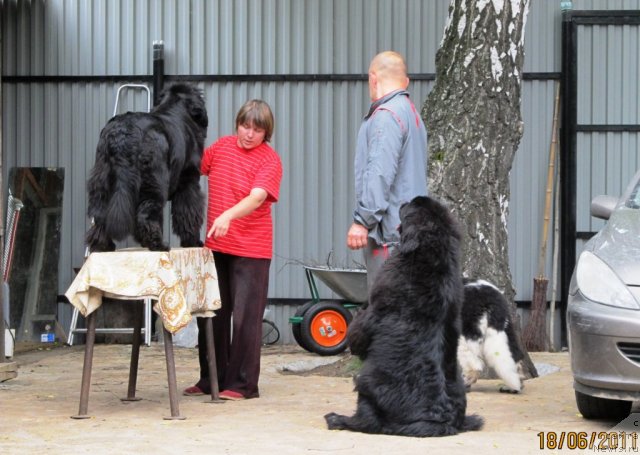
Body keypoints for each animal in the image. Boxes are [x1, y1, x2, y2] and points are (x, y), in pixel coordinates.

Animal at [85, 83, 208, 253]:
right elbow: (189, 212)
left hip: (101, 177)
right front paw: (193, 242)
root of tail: (123, 133)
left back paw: (103, 246)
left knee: (100, 214)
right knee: (147, 213)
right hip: (154, 180)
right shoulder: (189, 180)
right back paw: (158, 245)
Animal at [322, 196, 482, 438]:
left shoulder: (374, 312)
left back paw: (336, 419)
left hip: (367, 383)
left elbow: (358, 329)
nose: (405, 200)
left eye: (410, 208)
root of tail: (440, 421)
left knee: (367, 422)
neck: (432, 258)